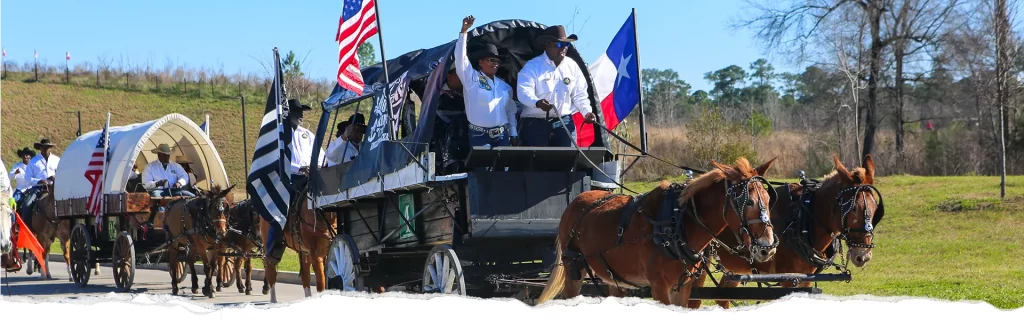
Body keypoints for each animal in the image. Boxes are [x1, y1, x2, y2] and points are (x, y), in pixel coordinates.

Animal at [536, 157, 782, 307]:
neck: (677, 224)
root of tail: (577, 200)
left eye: (769, 199)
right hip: (573, 269)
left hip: (612, 277)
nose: (767, 248)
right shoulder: (659, 287)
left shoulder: (683, 287)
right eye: (748, 202)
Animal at [688, 154, 888, 307]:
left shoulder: (805, 278)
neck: (802, 220)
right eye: (853, 208)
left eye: (875, 207)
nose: (863, 254)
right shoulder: (789, 279)